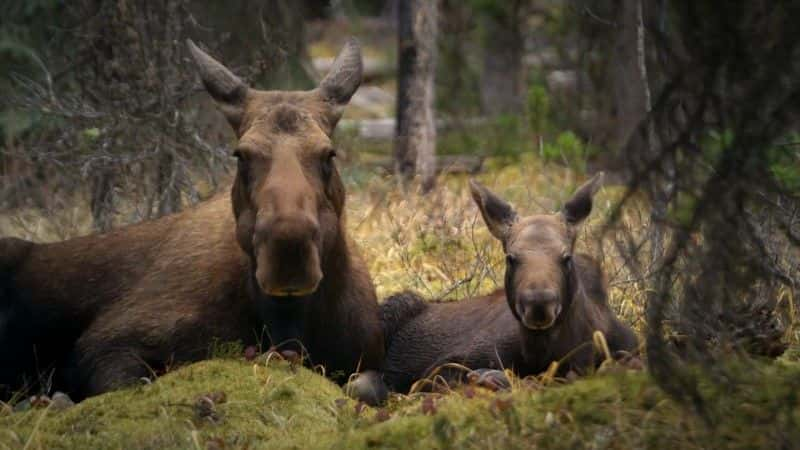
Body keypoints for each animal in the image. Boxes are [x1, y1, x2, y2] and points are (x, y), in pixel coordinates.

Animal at [0, 37, 388, 404]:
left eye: (329, 154)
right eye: (241, 155)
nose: (288, 252)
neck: (288, 322)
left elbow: (365, 386)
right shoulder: (104, 343)